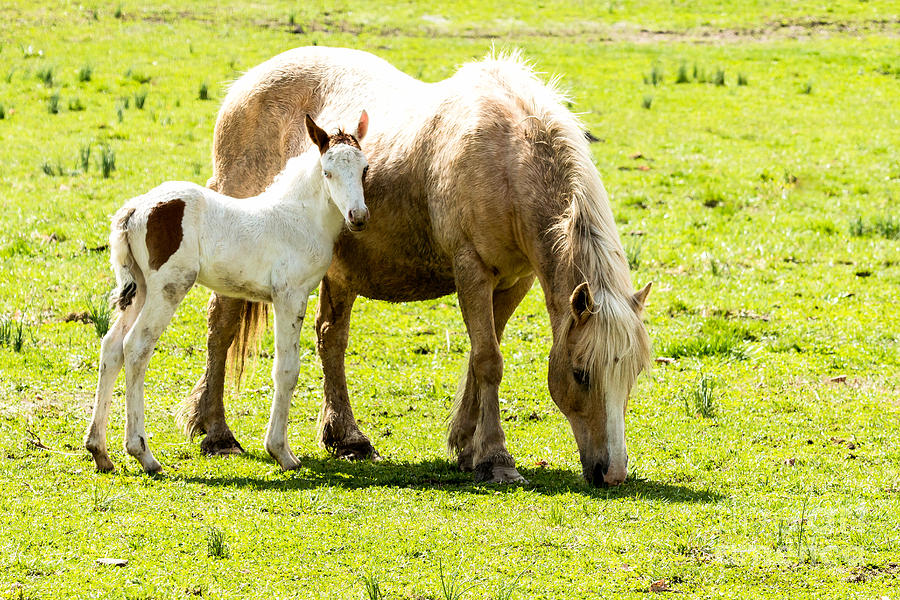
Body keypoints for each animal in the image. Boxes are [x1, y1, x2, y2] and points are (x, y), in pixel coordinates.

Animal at [81, 113, 370, 474]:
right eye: (328, 171)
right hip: (168, 288)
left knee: (111, 347)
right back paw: (144, 454)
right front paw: (281, 452)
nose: (358, 217)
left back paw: (100, 451)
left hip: (141, 290)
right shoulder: (289, 295)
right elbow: (286, 369)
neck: (297, 218)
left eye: (364, 170)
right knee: (135, 347)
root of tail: (133, 209)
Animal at [178, 48, 652, 488]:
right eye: (581, 373)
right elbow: (488, 361)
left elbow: (481, 355)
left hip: (341, 272)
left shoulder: (515, 281)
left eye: (632, 374)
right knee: (222, 327)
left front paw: (465, 447)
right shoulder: (471, 270)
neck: (507, 160)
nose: (613, 473)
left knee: (331, 339)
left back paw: (348, 438)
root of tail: (244, 86)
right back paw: (217, 434)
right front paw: (496, 459)